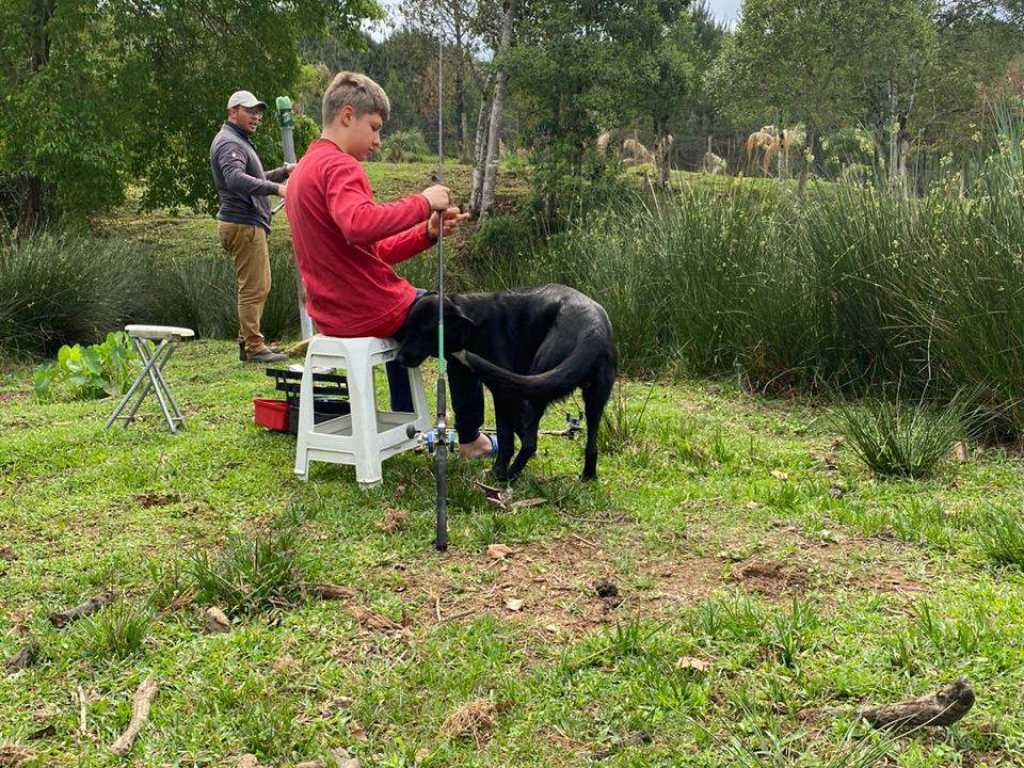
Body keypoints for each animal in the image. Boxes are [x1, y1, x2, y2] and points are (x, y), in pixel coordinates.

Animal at [391, 286, 614, 481]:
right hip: (593, 401)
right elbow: (518, 428)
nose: (399, 359)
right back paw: (587, 476)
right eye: (408, 327)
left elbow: (507, 438)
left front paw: (497, 470)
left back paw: (506, 477)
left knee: (531, 443)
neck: (473, 323)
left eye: (424, 331)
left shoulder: (504, 394)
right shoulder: (514, 391)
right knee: (591, 445)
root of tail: (593, 330)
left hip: (537, 388)